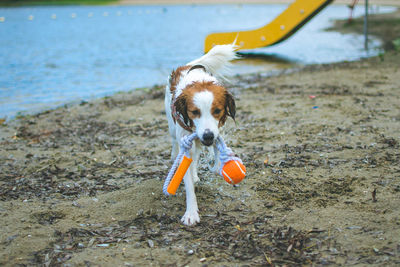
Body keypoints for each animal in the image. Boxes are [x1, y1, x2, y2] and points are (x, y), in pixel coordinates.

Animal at [165, 44, 238, 226]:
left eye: (217, 111)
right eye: (194, 112)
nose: (208, 136)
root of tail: (188, 66)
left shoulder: (219, 131)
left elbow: (217, 157)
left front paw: (217, 164)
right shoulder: (187, 143)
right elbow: (188, 183)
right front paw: (191, 213)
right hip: (172, 127)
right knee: (174, 143)